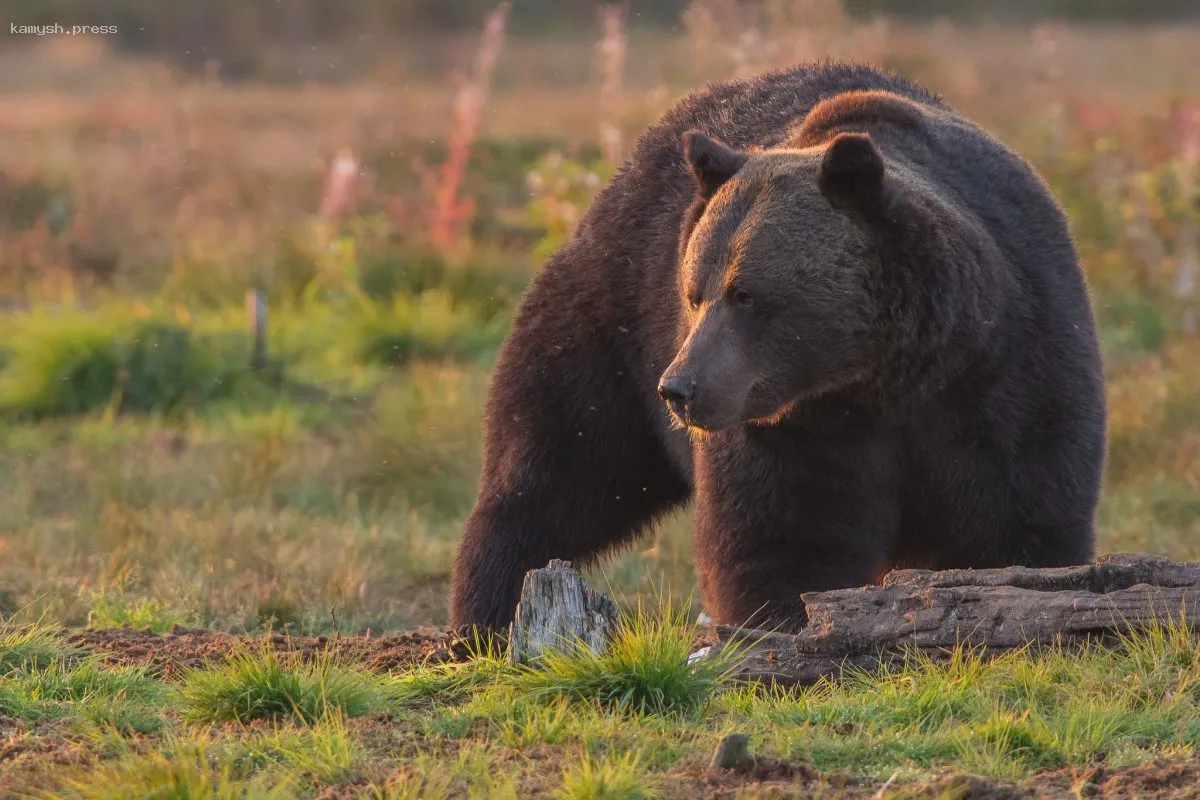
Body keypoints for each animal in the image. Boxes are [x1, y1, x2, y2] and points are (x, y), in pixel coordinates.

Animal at [448, 62, 1104, 633]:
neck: (882, 383)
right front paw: (788, 619)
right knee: (552, 468)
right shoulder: (790, 426)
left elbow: (1015, 520)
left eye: (746, 294)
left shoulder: (1006, 375)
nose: (680, 389)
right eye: (694, 292)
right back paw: (484, 613)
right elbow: (784, 536)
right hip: (609, 321)